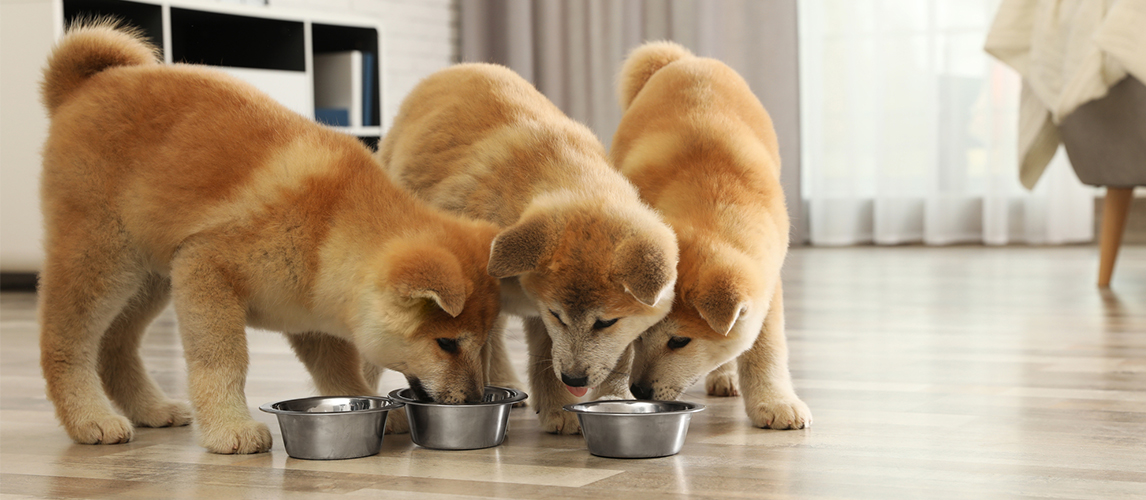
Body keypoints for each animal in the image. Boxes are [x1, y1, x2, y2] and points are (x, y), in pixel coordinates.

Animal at [39, 23, 501, 454]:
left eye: (482, 344)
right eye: (446, 344)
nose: (473, 399)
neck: (330, 228)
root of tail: (85, 85)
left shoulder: (311, 319)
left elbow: (340, 374)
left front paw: (372, 405)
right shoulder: (206, 269)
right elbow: (222, 361)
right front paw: (229, 427)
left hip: (152, 275)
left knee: (114, 345)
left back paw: (151, 408)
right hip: (103, 260)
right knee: (65, 344)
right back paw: (89, 418)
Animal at [380, 63, 673, 433]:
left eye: (607, 323)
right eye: (557, 314)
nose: (574, 378)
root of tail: (457, 68)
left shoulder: (537, 319)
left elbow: (545, 354)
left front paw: (560, 410)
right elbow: (476, 352)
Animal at [614, 40, 811, 428]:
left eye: (679, 341)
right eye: (642, 335)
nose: (640, 390)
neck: (709, 207)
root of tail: (686, 61)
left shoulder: (767, 283)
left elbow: (766, 347)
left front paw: (774, 402)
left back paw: (725, 376)